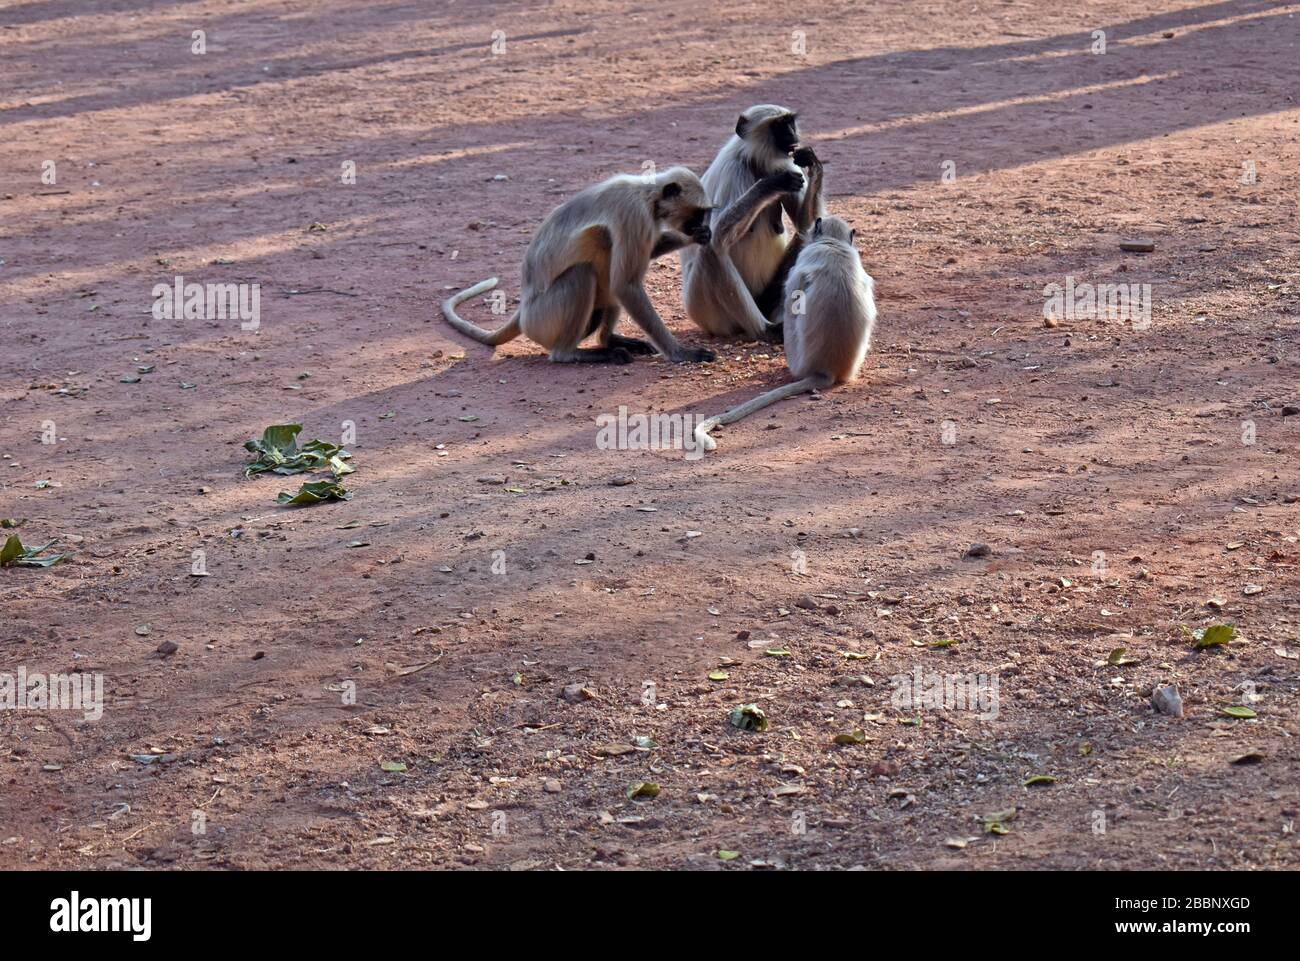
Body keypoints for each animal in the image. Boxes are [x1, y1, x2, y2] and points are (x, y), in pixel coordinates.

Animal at [441, 167, 717, 365]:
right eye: (698, 212)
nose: (700, 223)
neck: (647, 195)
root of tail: (524, 311)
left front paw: (696, 237)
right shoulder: (633, 213)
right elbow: (625, 285)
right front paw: (681, 353)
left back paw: (608, 340)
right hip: (543, 319)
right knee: (586, 270)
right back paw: (571, 354)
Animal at [680, 104, 826, 342]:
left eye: (790, 122)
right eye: (779, 125)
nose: (792, 134)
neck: (754, 161)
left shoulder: (788, 164)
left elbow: (808, 225)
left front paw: (812, 161)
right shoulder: (734, 171)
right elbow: (718, 232)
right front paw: (771, 185)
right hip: (706, 312)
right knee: (712, 247)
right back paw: (766, 330)